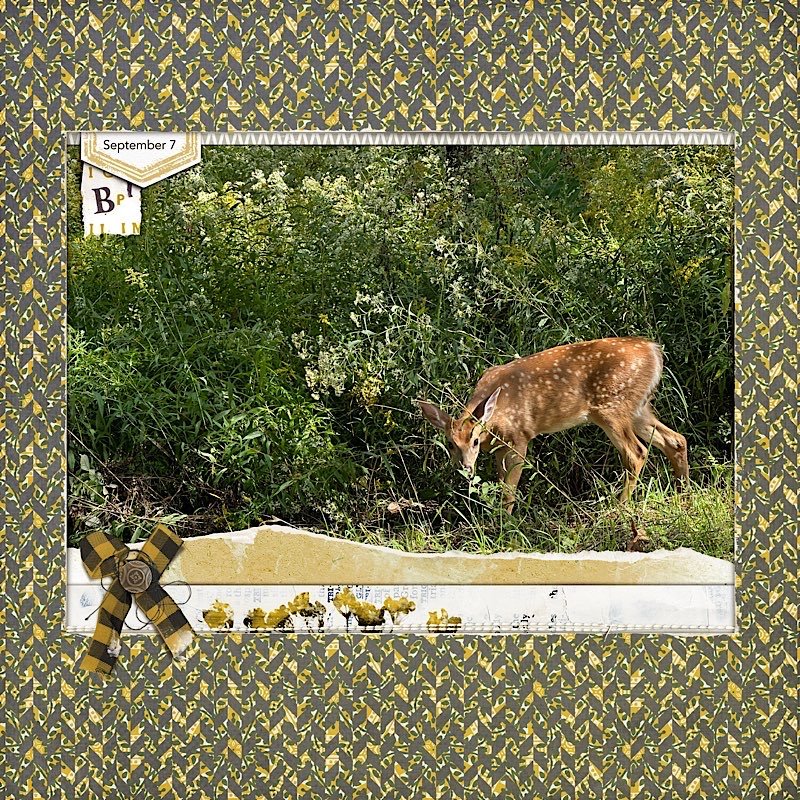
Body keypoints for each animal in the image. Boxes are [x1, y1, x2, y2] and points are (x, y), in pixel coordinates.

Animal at [418, 337, 689, 513]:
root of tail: (654, 351)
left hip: (612, 408)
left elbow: (510, 487)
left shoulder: (519, 437)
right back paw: (683, 493)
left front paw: (505, 522)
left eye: (474, 441)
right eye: (450, 444)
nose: (465, 467)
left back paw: (618, 508)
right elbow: (501, 481)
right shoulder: (499, 447)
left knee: (637, 452)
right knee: (676, 440)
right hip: (639, 407)